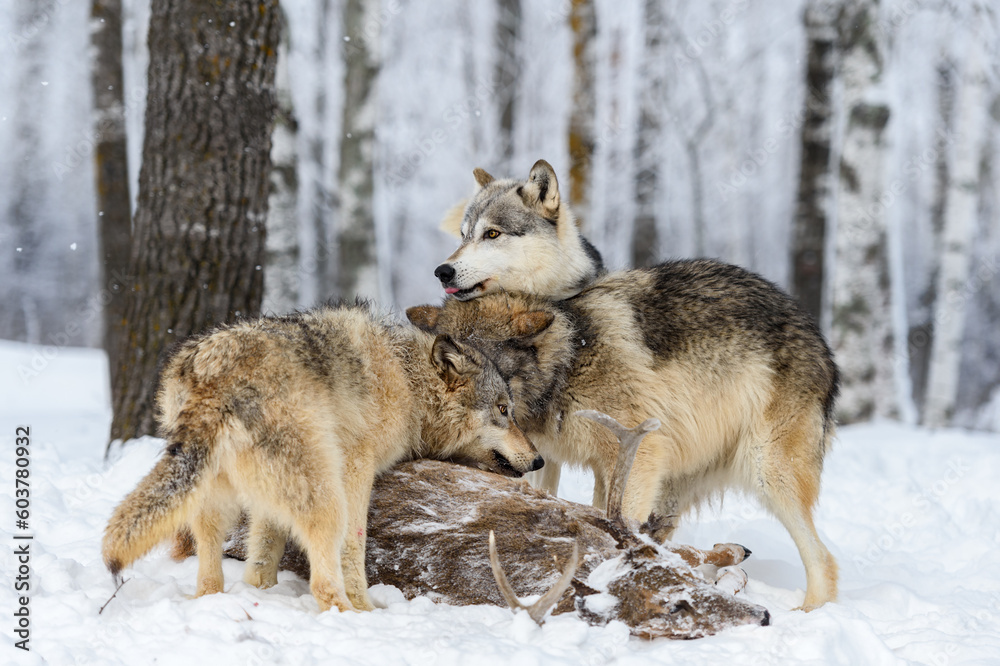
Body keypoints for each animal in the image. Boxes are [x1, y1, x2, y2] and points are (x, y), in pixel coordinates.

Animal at [102, 300, 544, 613]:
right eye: (503, 410)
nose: (539, 461)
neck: (408, 378)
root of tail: (212, 367)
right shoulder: (357, 470)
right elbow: (353, 548)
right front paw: (366, 607)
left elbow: (263, 555)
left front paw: (262, 590)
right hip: (324, 496)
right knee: (322, 580)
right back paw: (348, 616)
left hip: (219, 496)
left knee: (208, 566)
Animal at [417, 161, 841, 610]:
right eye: (463, 235)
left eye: (492, 234)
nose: (443, 270)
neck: (569, 352)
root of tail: (818, 336)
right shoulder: (550, 458)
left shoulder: (639, 452)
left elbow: (617, 525)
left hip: (768, 472)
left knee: (824, 560)